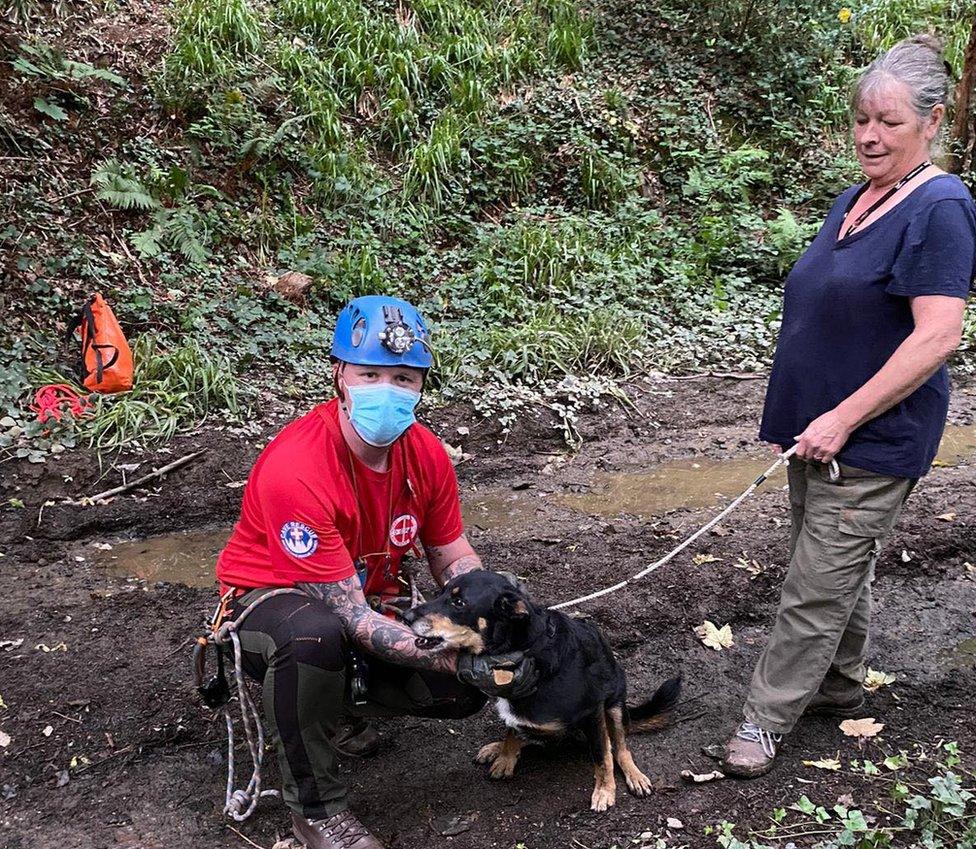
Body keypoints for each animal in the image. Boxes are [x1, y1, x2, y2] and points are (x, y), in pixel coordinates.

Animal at [404, 568, 680, 808]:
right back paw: (496, 748)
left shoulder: (593, 712)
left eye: (459, 603)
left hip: (614, 705)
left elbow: (603, 755)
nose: (405, 617)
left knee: (619, 746)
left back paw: (634, 775)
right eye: (441, 592)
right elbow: (511, 731)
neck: (522, 650)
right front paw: (505, 756)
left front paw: (604, 791)